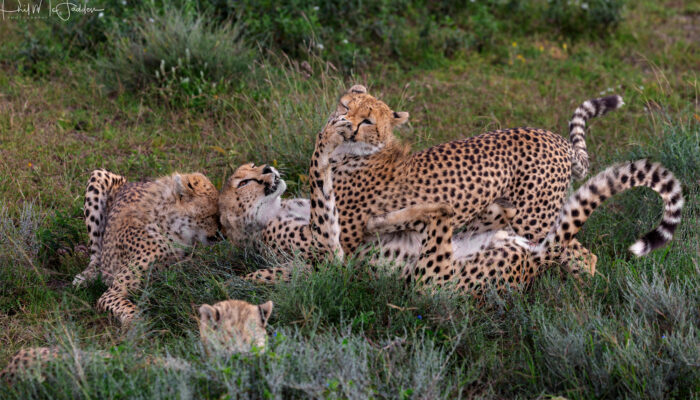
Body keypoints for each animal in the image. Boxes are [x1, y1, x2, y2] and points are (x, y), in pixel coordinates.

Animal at [72, 168, 219, 324]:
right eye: (212, 215)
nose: (221, 233)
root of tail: (131, 183)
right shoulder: (112, 293)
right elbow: (129, 309)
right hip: (98, 175)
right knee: (96, 255)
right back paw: (86, 277)